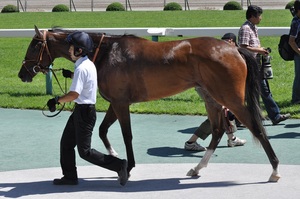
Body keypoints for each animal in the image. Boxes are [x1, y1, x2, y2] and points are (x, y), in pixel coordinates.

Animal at [18, 26, 282, 182]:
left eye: (34, 44)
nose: (23, 73)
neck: (106, 52)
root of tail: (233, 48)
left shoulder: (121, 103)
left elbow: (126, 135)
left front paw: (127, 166)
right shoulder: (115, 102)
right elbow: (102, 130)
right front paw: (114, 157)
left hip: (230, 98)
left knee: (256, 127)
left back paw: (275, 171)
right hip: (211, 96)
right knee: (217, 130)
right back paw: (196, 169)